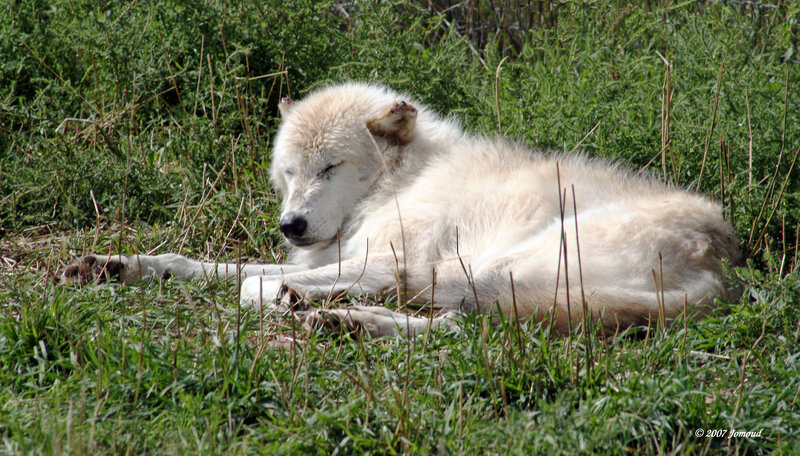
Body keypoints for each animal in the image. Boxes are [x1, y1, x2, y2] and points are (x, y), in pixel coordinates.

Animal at [63, 82, 741, 338]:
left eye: (329, 168)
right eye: (290, 173)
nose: (291, 225)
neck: (397, 182)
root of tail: (724, 268)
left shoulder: (387, 263)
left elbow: (249, 287)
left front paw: (290, 296)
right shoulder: (334, 254)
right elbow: (205, 267)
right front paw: (118, 265)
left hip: (488, 271)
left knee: (465, 329)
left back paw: (340, 316)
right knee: (460, 325)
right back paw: (342, 319)